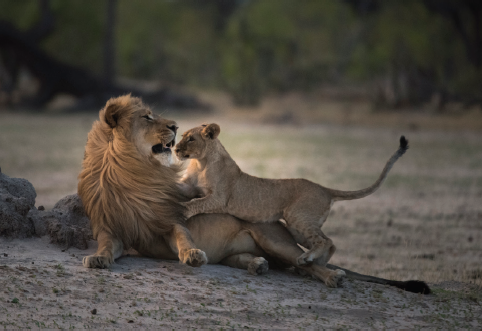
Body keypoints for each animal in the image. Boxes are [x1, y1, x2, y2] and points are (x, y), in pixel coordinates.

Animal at [175, 124, 408, 268]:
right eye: (182, 136)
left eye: (190, 139)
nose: (175, 149)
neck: (200, 162)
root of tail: (324, 188)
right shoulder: (188, 185)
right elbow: (182, 189)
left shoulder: (220, 199)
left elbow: (198, 202)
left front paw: (184, 210)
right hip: (296, 228)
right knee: (331, 243)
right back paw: (315, 265)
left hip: (298, 217)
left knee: (326, 240)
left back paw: (307, 259)